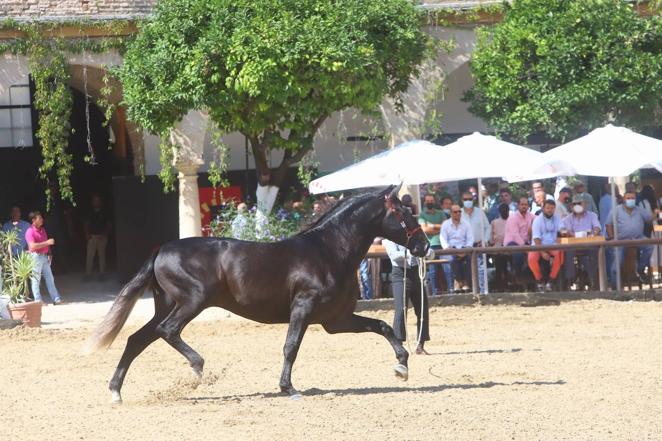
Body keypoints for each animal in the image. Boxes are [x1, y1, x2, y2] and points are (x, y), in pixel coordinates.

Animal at [87, 184, 430, 400]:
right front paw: (288, 388)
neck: (329, 251)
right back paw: (198, 366)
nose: (423, 246)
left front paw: (402, 366)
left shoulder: (336, 320)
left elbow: (383, 326)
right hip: (193, 301)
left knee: (137, 339)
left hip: (169, 303)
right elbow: (291, 346)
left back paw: (115, 392)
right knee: (166, 330)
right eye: (405, 213)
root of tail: (161, 250)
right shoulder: (303, 308)